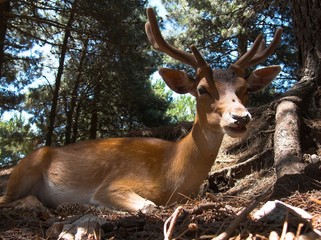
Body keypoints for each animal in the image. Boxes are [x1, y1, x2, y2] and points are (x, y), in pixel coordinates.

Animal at [0, 8, 280, 213]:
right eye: (201, 89)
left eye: (245, 89)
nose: (240, 117)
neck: (171, 175)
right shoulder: (112, 185)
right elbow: (148, 206)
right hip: (25, 168)